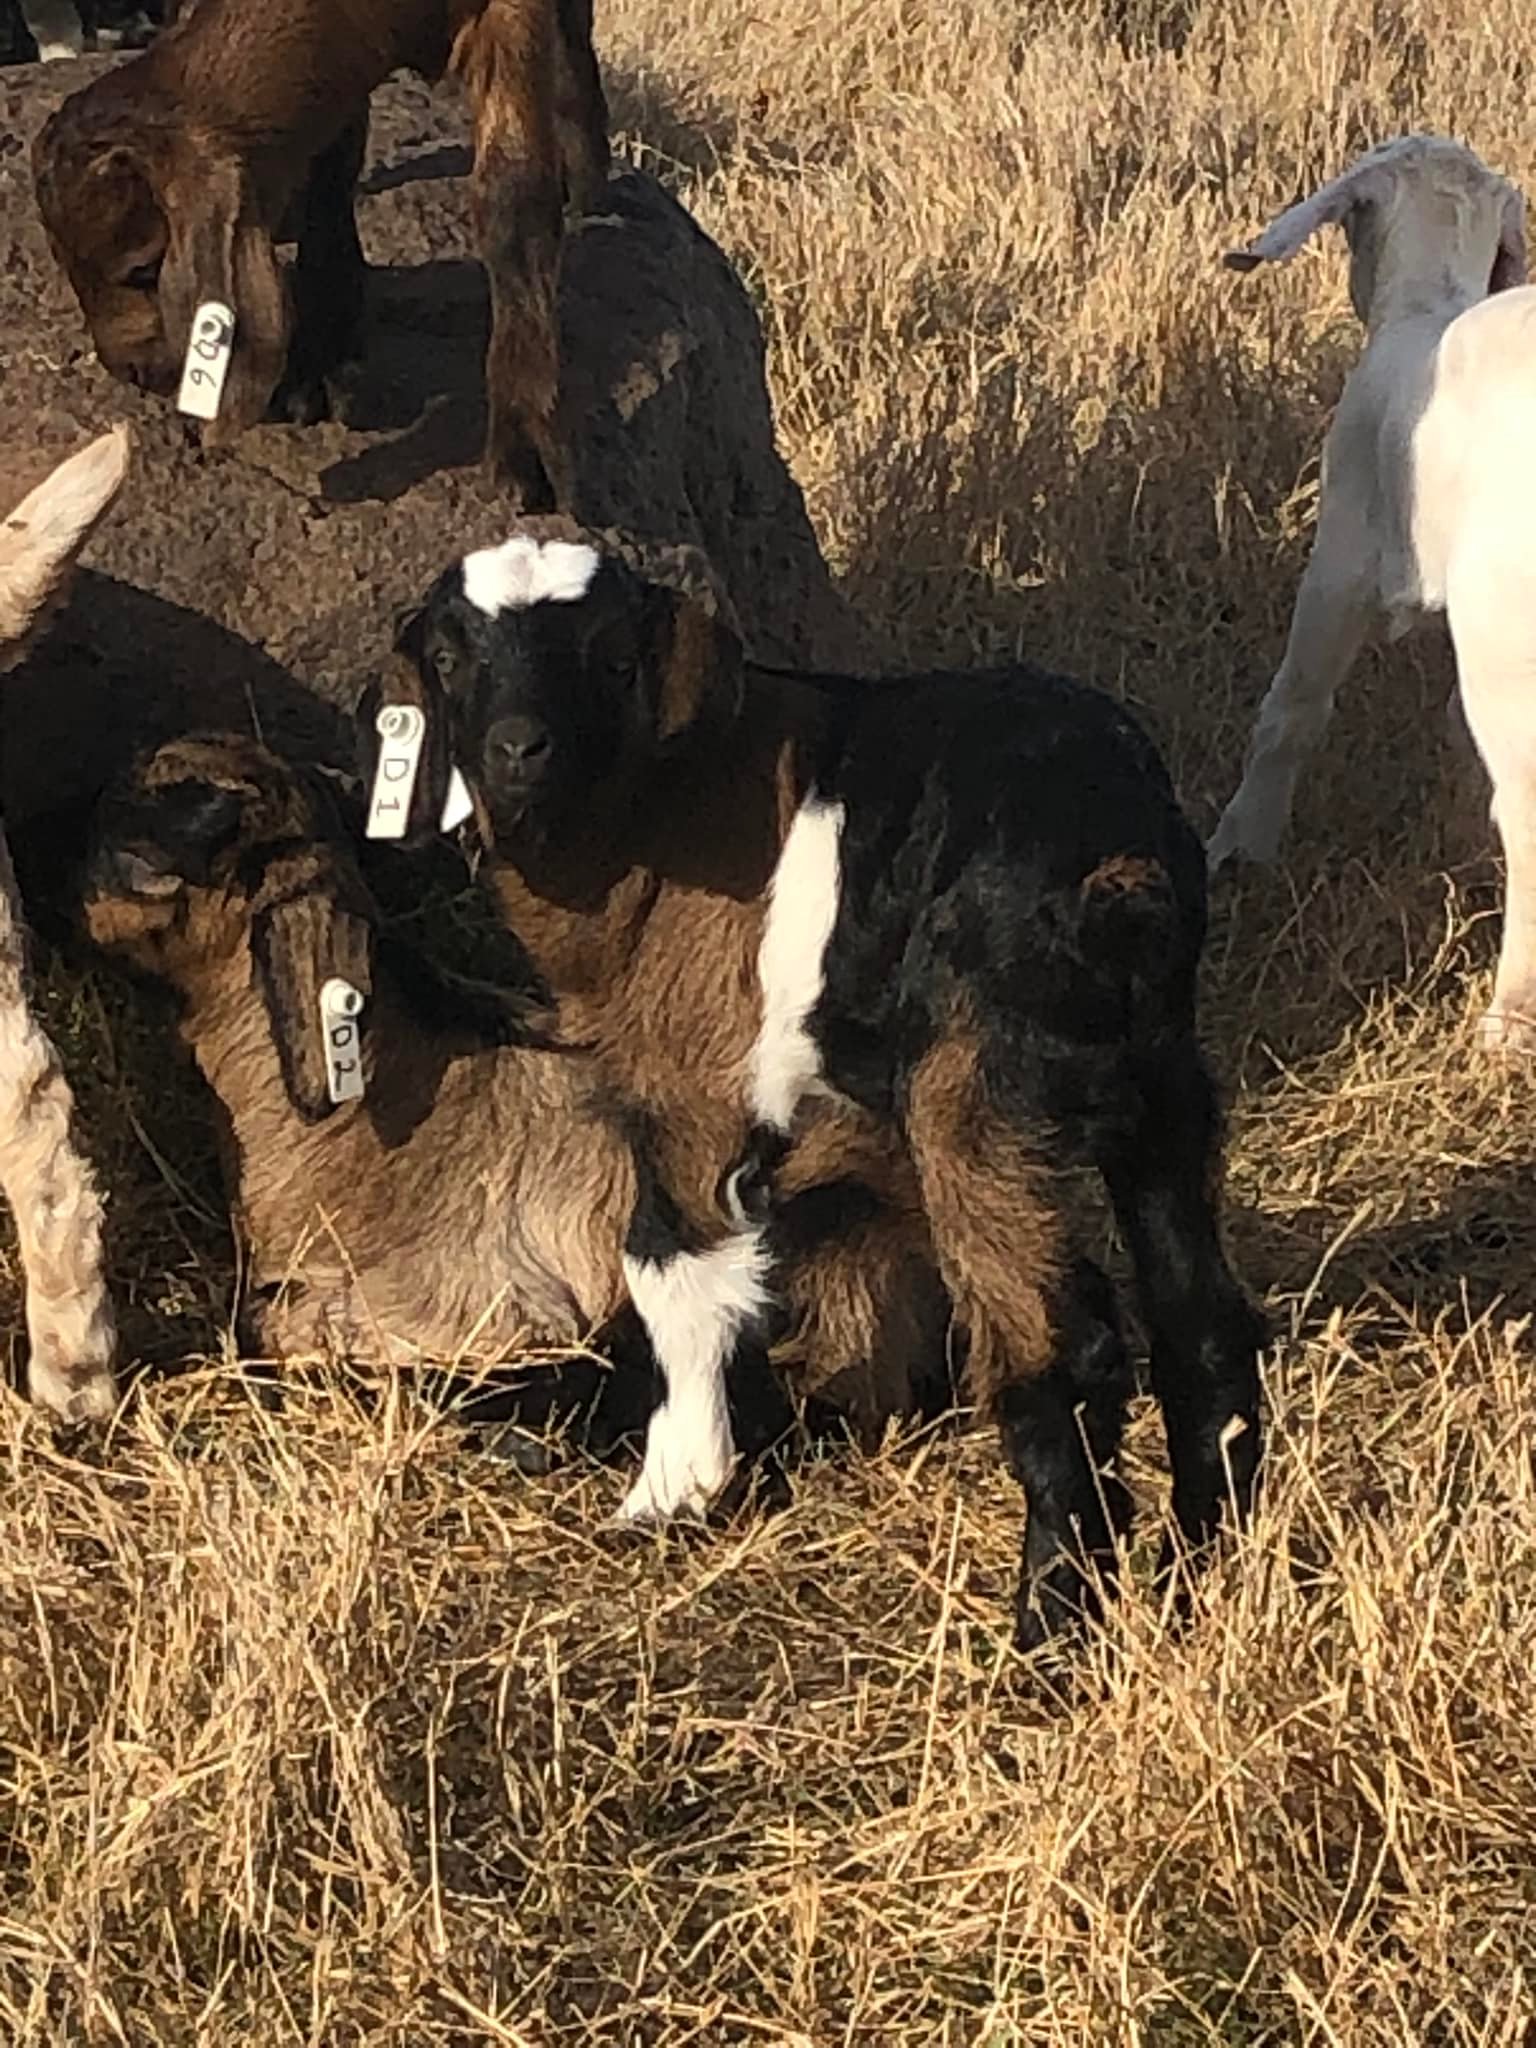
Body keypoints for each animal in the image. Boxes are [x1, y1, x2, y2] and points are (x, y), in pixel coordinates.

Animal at [31, 0, 608, 506]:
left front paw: (525, 440)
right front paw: (322, 353)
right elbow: (331, 164)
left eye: (144, 268)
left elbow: (514, 195)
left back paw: (586, 168)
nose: (129, 370)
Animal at [357, 522, 1266, 1648]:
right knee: (1201, 1324)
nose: (518, 751)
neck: (647, 828)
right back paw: (1206, 1576)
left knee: (1066, 1349)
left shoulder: (694, 1087)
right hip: (1160, 1084)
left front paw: (675, 1490)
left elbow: (668, 1267)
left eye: (612, 657)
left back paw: (1049, 1632)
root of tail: (1121, 869)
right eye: (448, 657)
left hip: (977, 1097)